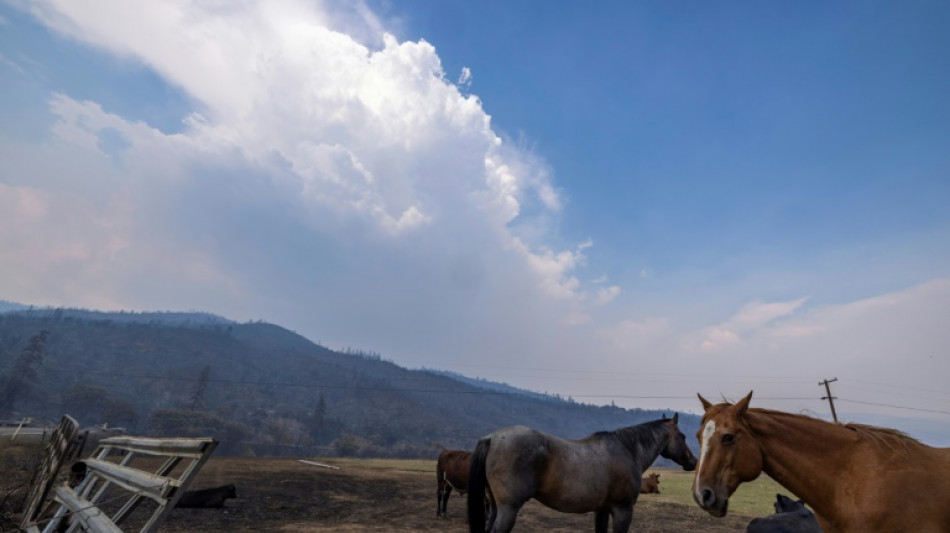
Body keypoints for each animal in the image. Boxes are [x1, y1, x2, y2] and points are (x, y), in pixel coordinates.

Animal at [468, 416, 700, 532]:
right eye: (683, 436)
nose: (693, 462)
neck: (627, 450)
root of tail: (492, 438)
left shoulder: (602, 510)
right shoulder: (623, 511)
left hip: (496, 508)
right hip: (508, 510)